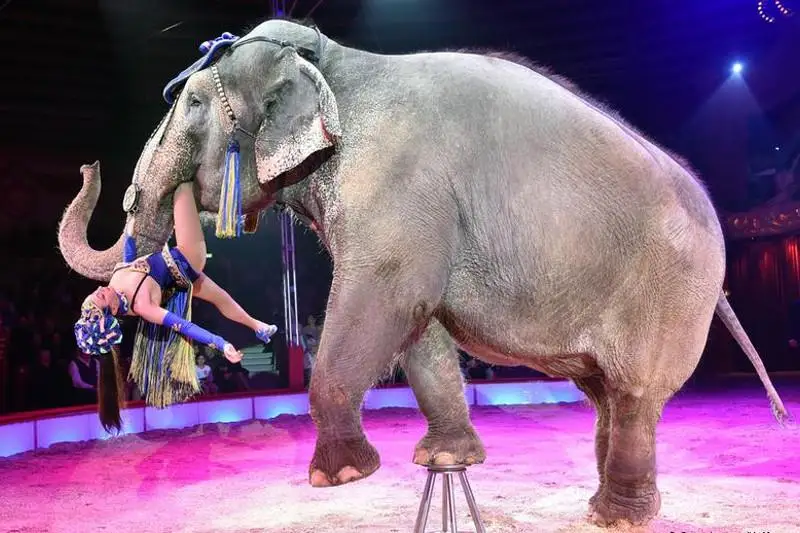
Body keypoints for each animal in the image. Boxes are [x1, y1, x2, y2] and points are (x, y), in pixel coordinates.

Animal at [58, 18, 789, 527]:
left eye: (193, 106)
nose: (86, 164)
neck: (335, 61)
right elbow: (421, 329)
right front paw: (444, 461)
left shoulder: (397, 186)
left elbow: (386, 298)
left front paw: (339, 479)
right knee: (607, 395)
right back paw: (611, 503)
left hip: (667, 293)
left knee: (634, 394)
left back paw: (616, 517)